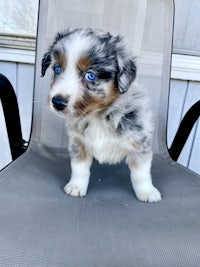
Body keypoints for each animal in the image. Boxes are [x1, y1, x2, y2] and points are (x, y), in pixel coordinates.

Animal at [41, 27, 161, 203]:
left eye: (90, 75)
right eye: (57, 69)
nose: (57, 102)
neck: (98, 115)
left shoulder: (140, 143)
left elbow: (140, 173)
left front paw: (147, 192)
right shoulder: (78, 143)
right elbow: (79, 168)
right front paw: (76, 186)